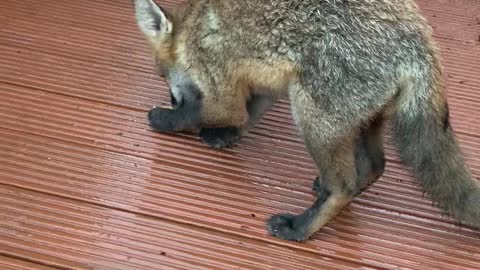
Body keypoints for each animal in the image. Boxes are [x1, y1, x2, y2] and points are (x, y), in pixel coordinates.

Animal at [131, 0, 480, 240]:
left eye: (162, 75)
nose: (172, 98)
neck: (194, 26)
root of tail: (420, 42)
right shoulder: (267, 84)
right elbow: (249, 114)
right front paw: (225, 136)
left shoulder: (218, 82)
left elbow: (211, 112)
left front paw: (165, 118)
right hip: (361, 118)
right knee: (374, 166)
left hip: (312, 116)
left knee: (343, 187)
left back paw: (301, 227)